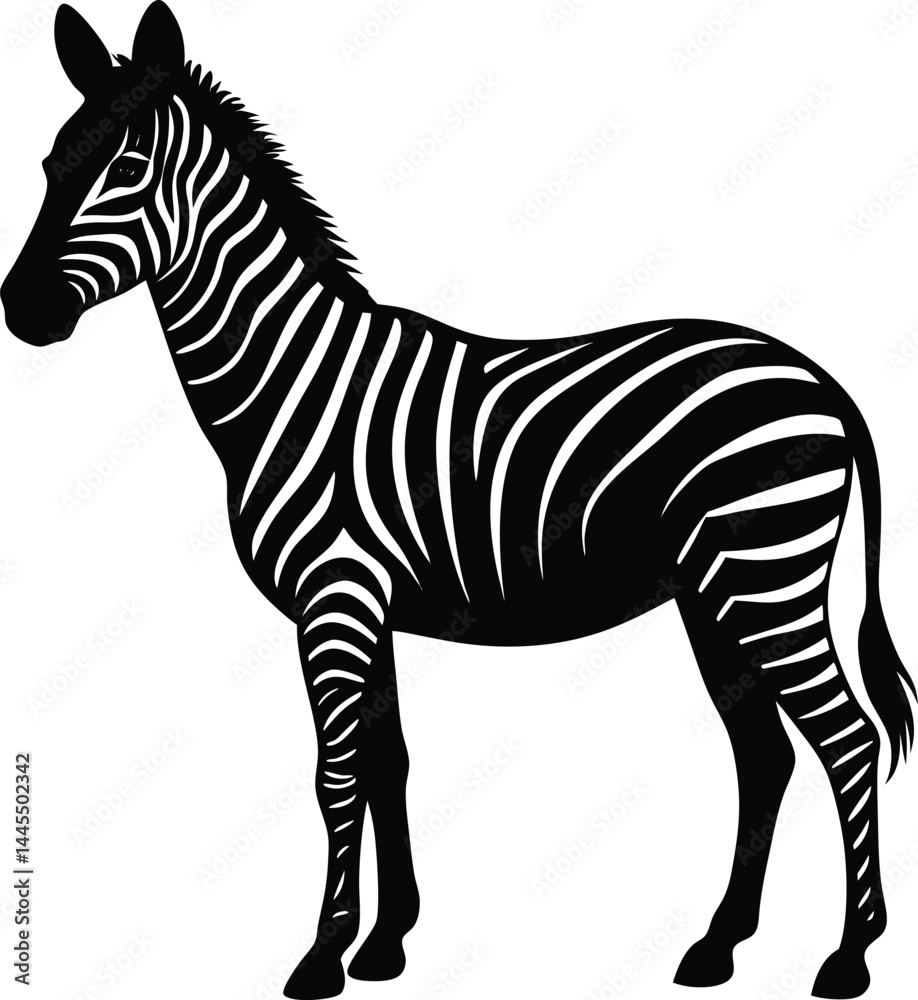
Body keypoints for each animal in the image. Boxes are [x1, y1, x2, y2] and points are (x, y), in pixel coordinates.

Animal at [1, 4, 914, 998]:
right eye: (48, 165)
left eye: (127, 171)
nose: (21, 311)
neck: (291, 380)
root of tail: (822, 380)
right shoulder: (366, 606)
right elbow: (386, 763)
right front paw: (384, 943)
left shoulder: (334, 597)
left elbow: (335, 774)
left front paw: (320, 958)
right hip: (716, 594)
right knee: (766, 752)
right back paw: (719, 945)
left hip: (766, 576)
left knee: (848, 740)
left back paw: (849, 955)